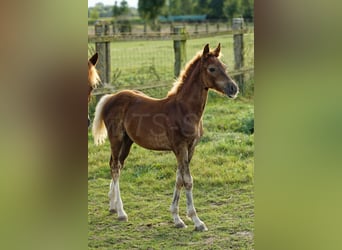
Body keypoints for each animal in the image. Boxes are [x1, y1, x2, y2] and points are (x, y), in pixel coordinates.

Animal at [92, 44, 239, 231]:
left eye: (224, 67)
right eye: (212, 69)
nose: (234, 88)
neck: (184, 109)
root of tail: (111, 97)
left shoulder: (190, 148)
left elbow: (179, 179)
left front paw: (177, 219)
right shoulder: (180, 147)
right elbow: (187, 180)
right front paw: (196, 221)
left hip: (127, 142)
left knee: (116, 164)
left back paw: (112, 205)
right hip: (116, 139)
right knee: (115, 167)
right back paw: (121, 212)